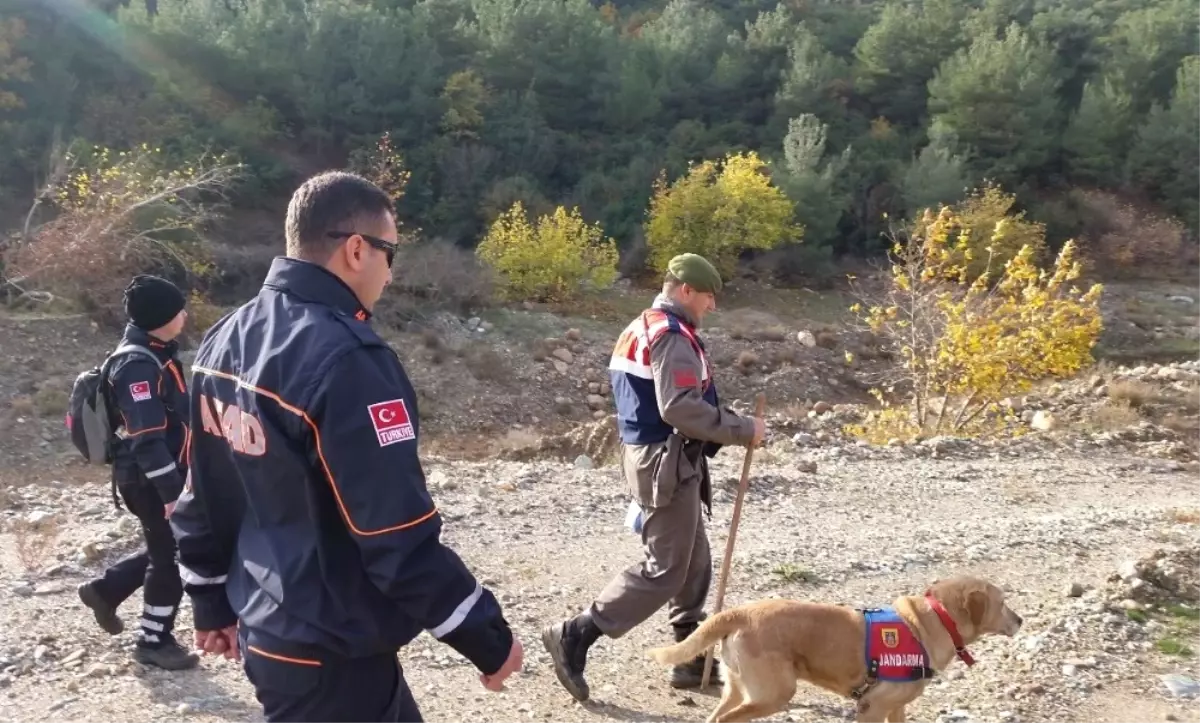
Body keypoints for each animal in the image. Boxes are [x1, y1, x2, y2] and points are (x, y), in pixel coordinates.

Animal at [648, 574, 1022, 720]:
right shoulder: (872, 706)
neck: (934, 620)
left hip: (738, 688)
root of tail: (740, 612)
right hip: (774, 694)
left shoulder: (895, 707)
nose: (1020, 620)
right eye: (1003, 602)